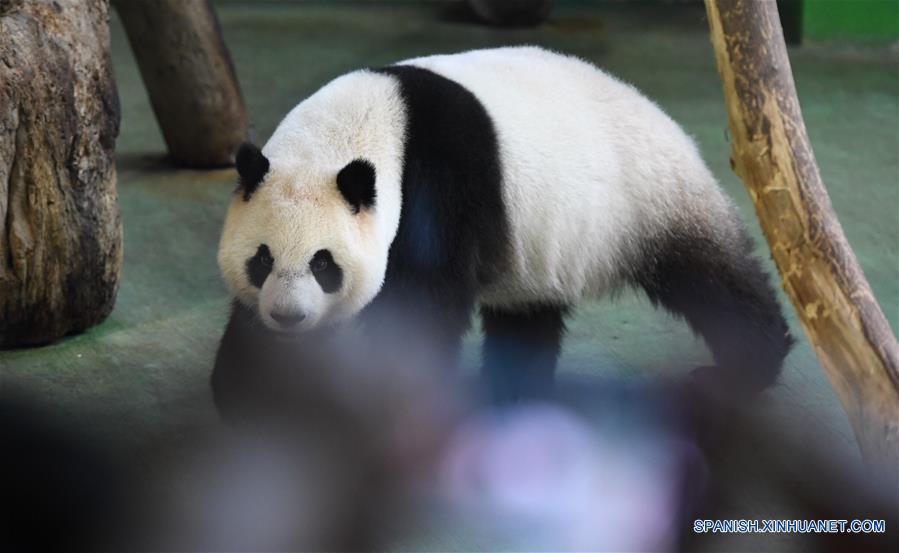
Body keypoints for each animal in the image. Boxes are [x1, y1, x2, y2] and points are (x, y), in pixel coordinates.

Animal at [213, 46, 793, 408]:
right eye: (261, 259)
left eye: (324, 263)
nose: (288, 317)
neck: (368, 123)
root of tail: (663, 116)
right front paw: (248, 390)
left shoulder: (438, 185)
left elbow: (423, 302)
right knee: (528, 314)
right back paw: (514, 390)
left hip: (648, 198)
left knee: (710, 279)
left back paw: (741, 372)